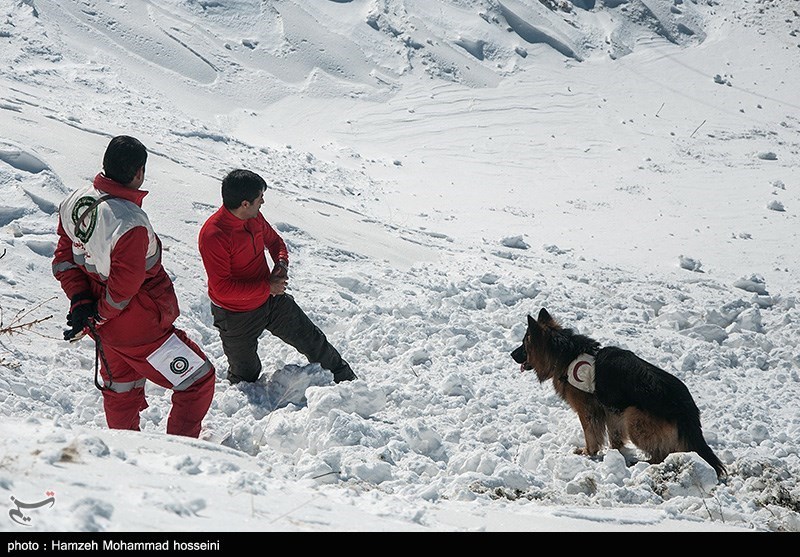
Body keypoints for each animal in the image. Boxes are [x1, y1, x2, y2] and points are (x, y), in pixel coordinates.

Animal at [512, 308, 724, 478]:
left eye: (523, 343)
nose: (511, 354)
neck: (564, 353)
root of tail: (686, 406)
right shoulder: (611, 410)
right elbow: (614, 436)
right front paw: (616, 453)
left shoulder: (589, 410)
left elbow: (591, 434)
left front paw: (589, 452)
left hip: (634, 417)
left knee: (661, 454)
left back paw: (643, 463)